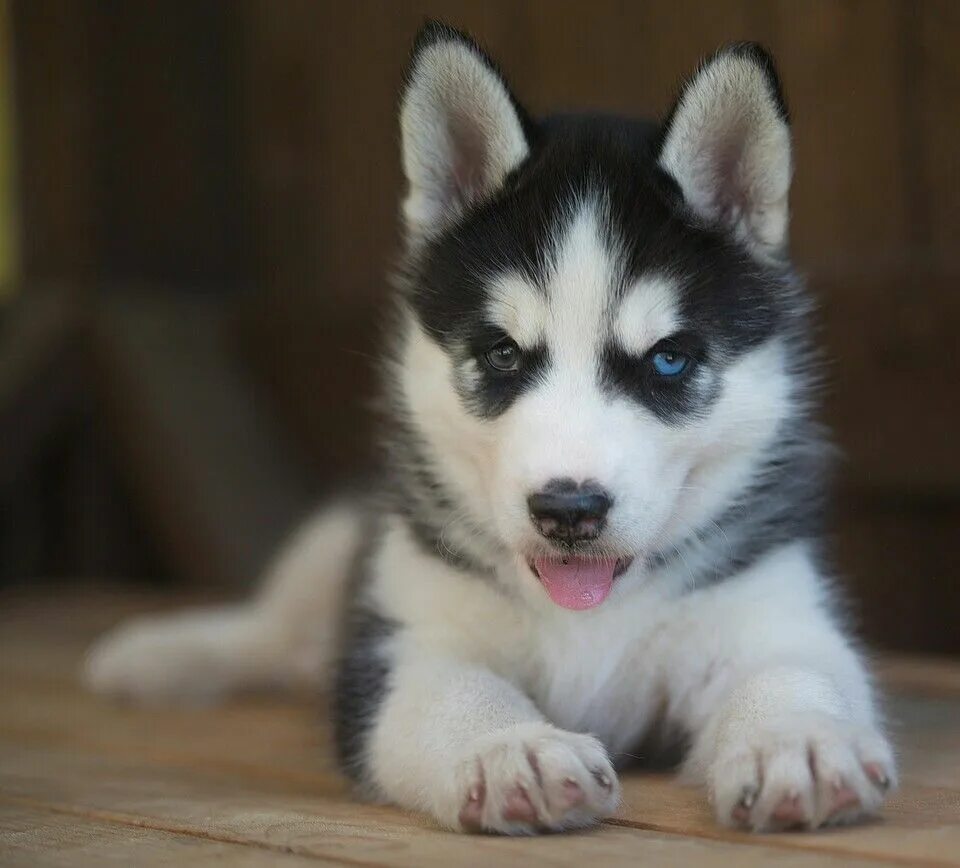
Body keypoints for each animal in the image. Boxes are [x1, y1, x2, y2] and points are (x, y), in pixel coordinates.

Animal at [86, 20, 896, 836]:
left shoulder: (772, 608)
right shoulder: (406, 639)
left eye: (667, 360)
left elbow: (794, 670)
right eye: (503, 353)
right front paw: (512, 748)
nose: (569, 510)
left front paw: (799, 738)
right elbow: (456, 692)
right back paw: (163, 653)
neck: (589, 617)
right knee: (274, 627)